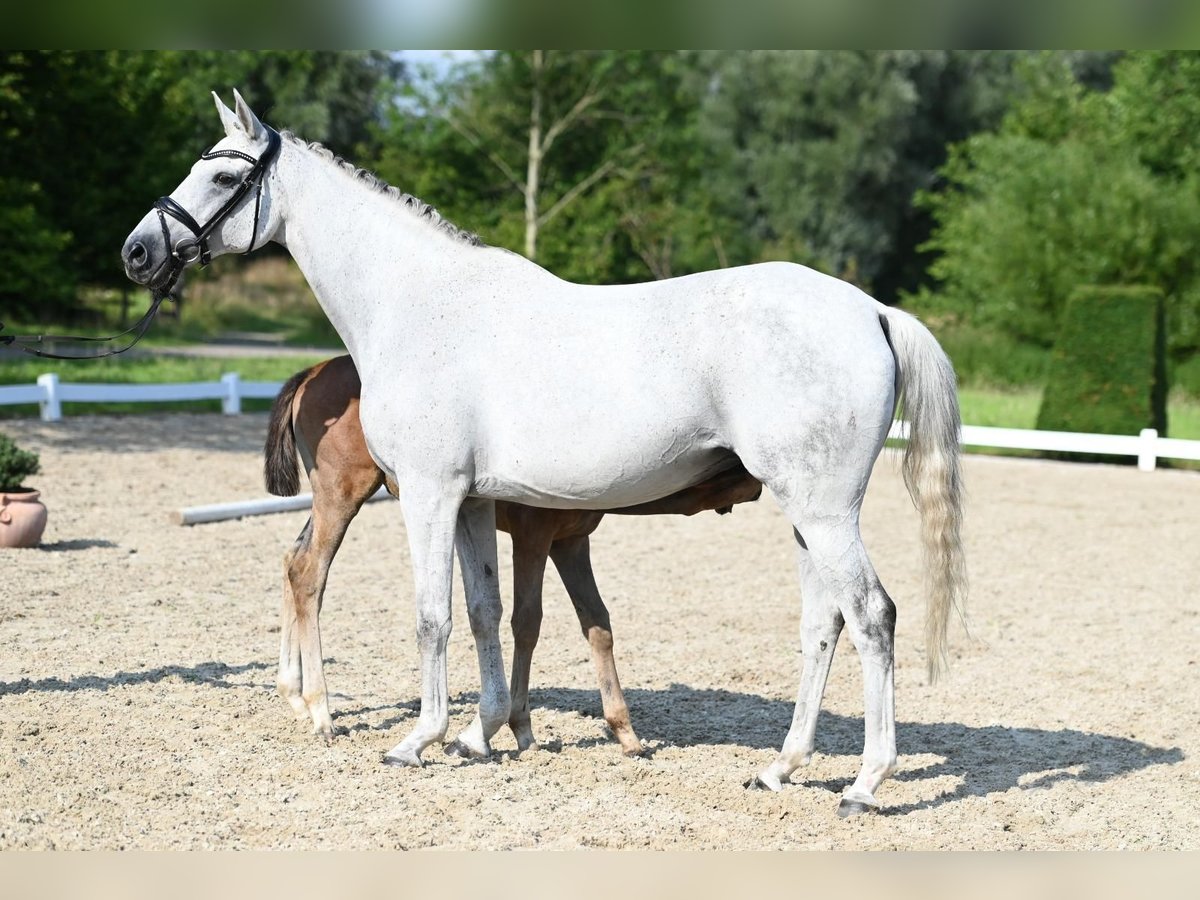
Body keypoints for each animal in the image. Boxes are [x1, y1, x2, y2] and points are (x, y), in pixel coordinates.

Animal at [268, 355, 763, 758]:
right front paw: (519, 729)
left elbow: (597, 624)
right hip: (342, 493)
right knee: (310, 572)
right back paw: (320, 711)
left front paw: (625, 733)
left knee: (293, 561)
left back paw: (293, 693)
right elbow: (527, 622)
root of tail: (314, 371)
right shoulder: (533, 536)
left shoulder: (571, 543)